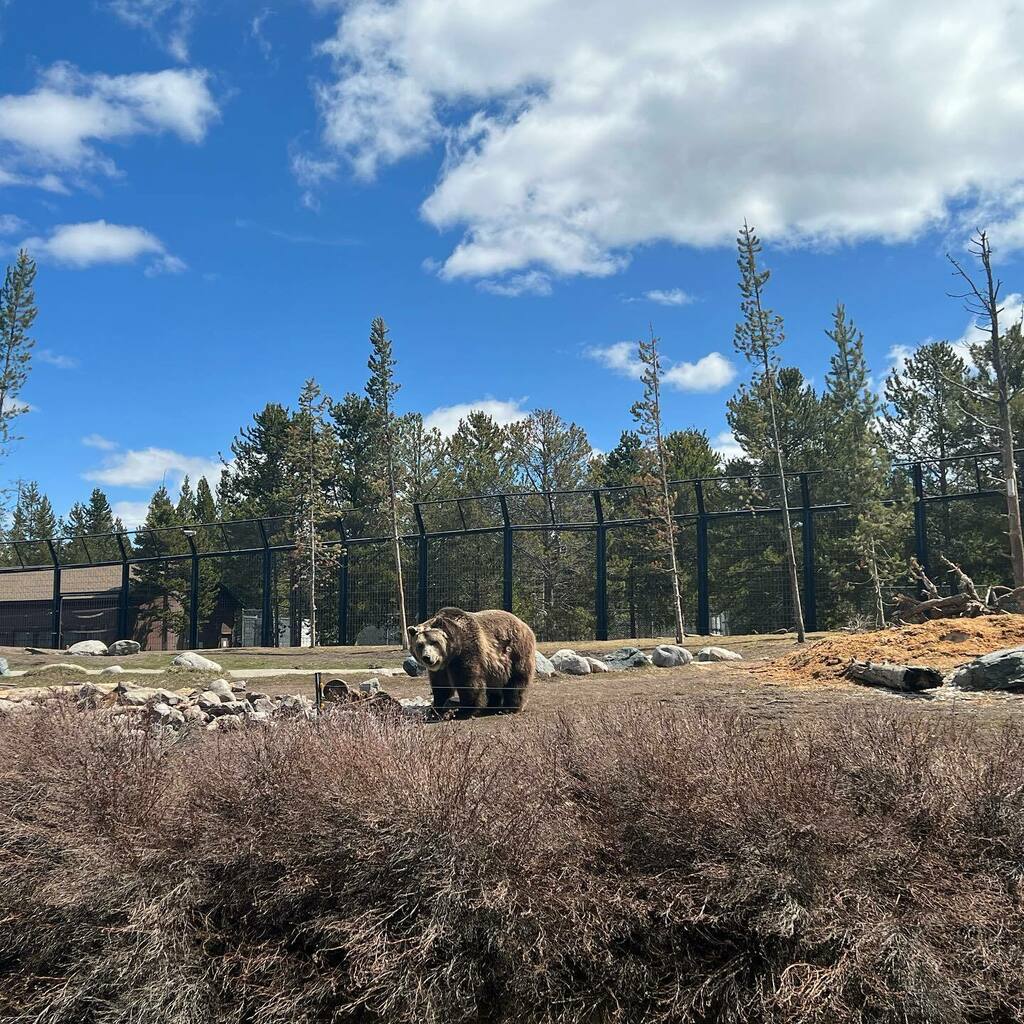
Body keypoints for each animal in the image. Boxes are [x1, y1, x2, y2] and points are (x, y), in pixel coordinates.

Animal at [406, 606, 536, 715]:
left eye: (434, 642)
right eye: (420, 645)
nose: (427, 657)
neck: (451, 652)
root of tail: (524, 625)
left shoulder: (467, 650)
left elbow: (468, 681)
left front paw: (464, 710)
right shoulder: (441, 668)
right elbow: (441, 686)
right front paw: (434, 708)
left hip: (516, 651)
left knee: (516, 680)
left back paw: (509, 708)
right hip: (495, 667)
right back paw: (491, 706)